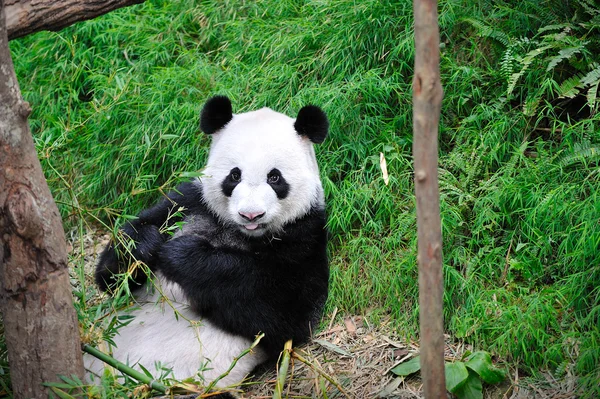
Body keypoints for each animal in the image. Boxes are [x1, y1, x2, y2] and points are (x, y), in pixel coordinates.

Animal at [91, 96, 330, 390]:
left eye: (274, 177)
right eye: (234, 175)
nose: (251, 215)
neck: (242, 232)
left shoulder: (305, 234)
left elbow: (282, 311)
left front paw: (182, 255)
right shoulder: (189, 201)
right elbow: (112, 276)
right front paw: (146, 245)